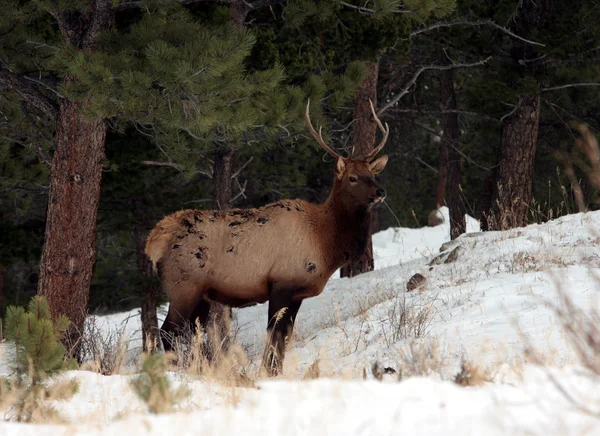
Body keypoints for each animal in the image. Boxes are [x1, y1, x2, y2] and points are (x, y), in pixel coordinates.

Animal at [145, 99, 390, 374]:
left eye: (373, 174)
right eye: (353, 178)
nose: (380, 192)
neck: (324, 241)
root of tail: (154, 240)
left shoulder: (298, 293)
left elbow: (285, 335)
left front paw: (275, 371)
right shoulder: (282, 282)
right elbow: (274, 332)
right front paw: (267, 371)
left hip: (201, 295)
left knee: (192, 332)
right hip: (182, 286)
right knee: (168, 331)